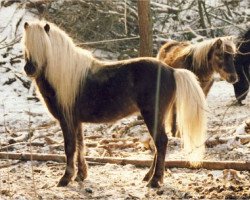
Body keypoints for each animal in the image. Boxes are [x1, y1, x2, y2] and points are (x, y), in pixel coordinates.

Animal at [23, 21, 207, 188]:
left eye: (43, 47)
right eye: (26, 46)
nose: (29, 69)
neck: (67, 76)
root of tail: (172, 71)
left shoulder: (66, 120)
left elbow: (69, 147)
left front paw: (65, 178)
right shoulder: (76, 121)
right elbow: (80, 144)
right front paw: (81, 175)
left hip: (152, 115)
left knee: (161, 142)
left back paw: (155, 181)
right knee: (158, 144)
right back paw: (148, 177)